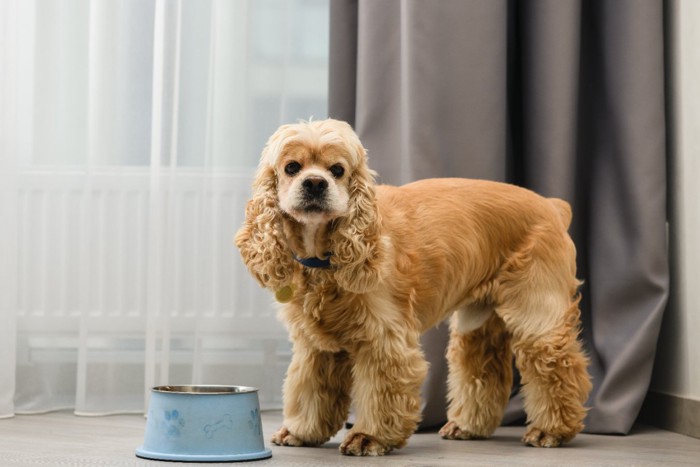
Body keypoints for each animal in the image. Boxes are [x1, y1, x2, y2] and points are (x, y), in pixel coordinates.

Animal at [235, 118, 592, 458]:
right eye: (291, 167)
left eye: (337, 170)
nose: (314, 183)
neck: (324, 257)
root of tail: (552, 206)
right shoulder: (316, 346)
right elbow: (309, 388)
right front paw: (302, 431)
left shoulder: (384, 338)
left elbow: (381, 391)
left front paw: (370, 437)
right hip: (478, 319)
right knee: (482, 366)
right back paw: (467, 425)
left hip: (537, 314)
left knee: (560, 367)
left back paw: (551, 431)